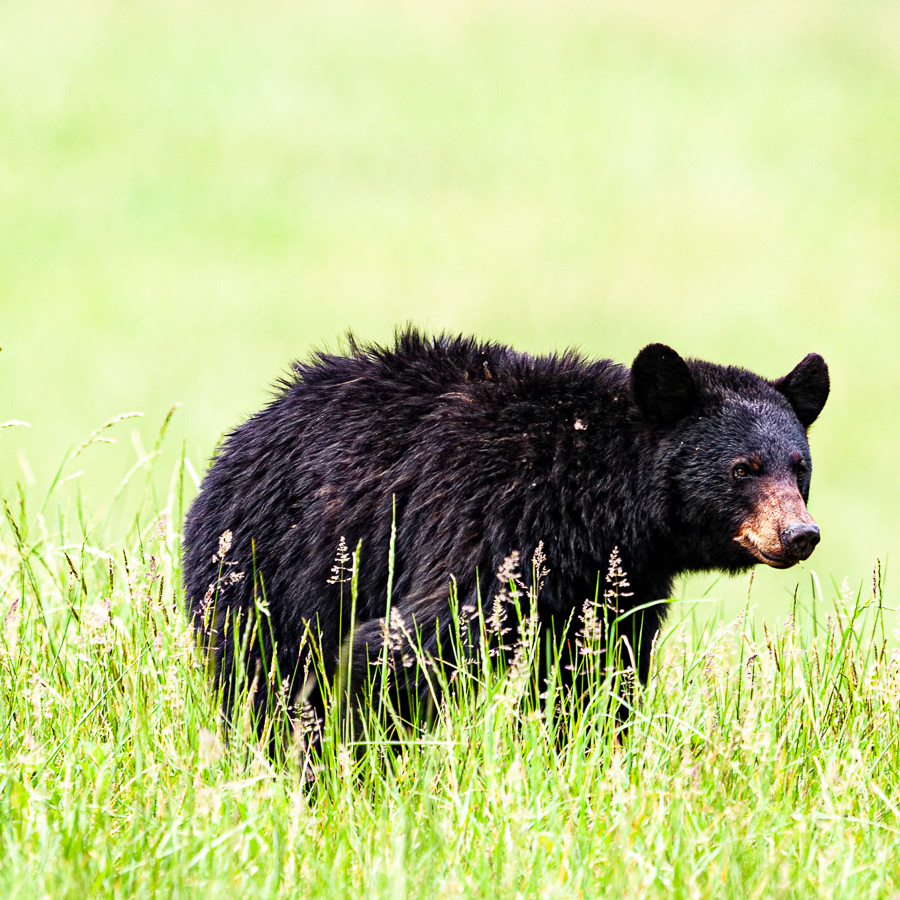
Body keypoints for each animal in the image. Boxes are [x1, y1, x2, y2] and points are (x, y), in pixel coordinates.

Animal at [182, 329, 829, 752]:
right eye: (743, 469)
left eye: (799, 467)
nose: (799, 534)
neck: (596, 495)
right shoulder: (491, 522)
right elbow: (411, 642)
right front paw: (355, 762)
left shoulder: (614, 577)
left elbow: (595, 672)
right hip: (270, 567)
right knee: (263, 671)